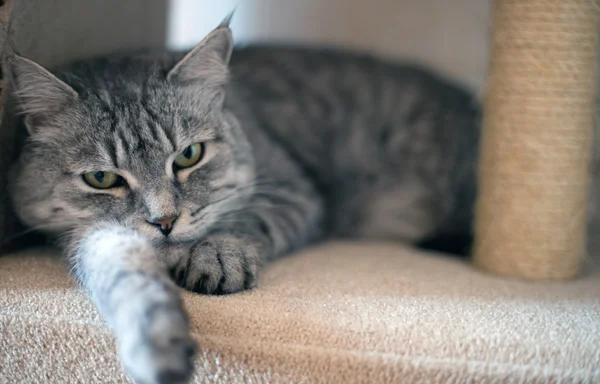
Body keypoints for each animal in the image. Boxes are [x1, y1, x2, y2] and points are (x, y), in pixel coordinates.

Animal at [5, 15, 478, 384]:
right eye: (102, 178)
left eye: (189, 156)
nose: (165, 221)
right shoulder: (92, 238)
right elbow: (128, 283)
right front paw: (154, 344)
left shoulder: (291, 191)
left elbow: (240, 223)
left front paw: (216, 258)